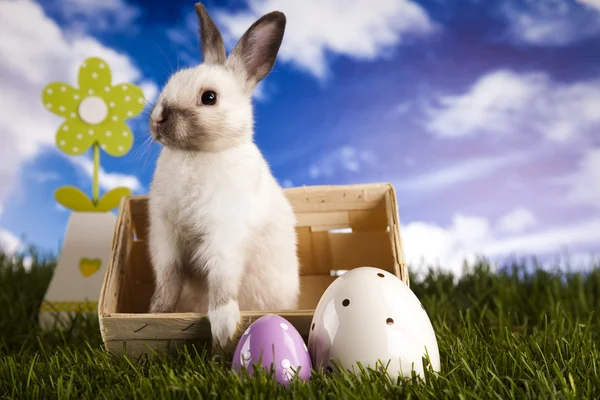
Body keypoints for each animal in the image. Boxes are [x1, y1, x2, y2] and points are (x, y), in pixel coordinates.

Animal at [146, 1, 300, 348]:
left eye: (209, 97)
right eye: (170, 83)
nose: (158, 117)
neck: (198, 154)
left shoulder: (225, 236)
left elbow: (221, 279)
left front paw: (223, 325)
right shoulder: (166, 237)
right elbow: (168, 276)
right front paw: (156, 312)